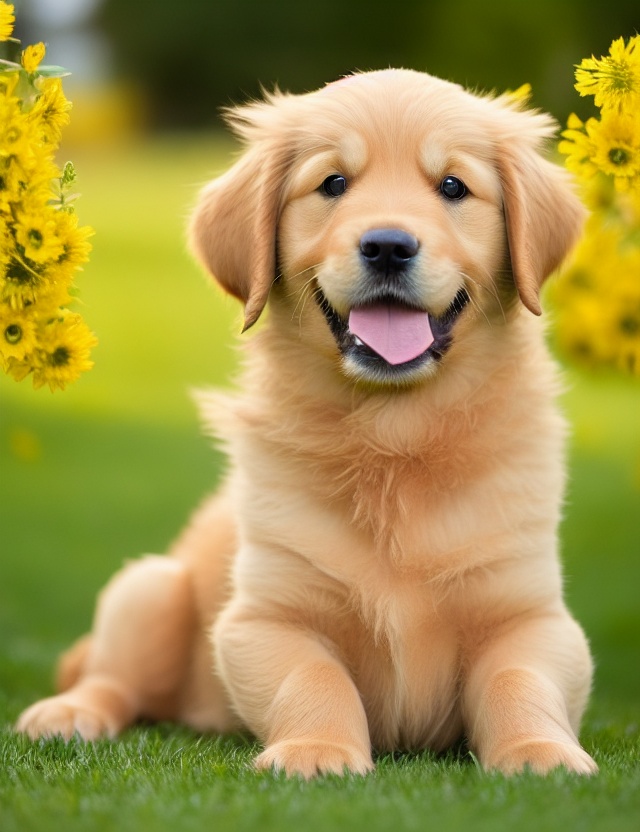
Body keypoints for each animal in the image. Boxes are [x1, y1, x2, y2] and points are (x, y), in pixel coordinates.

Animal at [15, 68, 596, 776]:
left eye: (454, 186)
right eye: (333, 183)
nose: (388, 246)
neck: (394, 431)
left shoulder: (531, 613)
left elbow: (521, 680)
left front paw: (541, 753)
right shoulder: (266, 616)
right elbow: (312, 678)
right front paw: (317, 751)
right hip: (148, 589)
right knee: (112, 678)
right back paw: (68, 714)